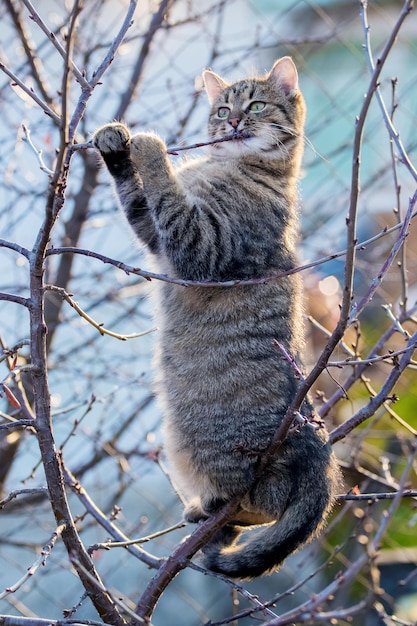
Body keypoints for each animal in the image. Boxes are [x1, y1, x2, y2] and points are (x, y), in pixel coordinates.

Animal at [92, 56, 340, 576]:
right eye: (223, 108)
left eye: (257, 105)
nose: (233, 121)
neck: (229, 165)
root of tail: (318, 446)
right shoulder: (157, 238)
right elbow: (140, 199)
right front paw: (115, 145)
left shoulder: (202, 248)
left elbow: (166, 190)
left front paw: (151, 147)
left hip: (217, 450)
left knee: (262, 502)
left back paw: (215, 510)